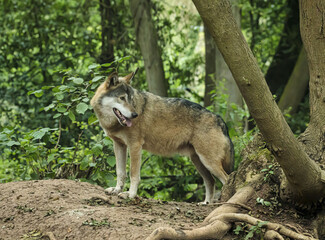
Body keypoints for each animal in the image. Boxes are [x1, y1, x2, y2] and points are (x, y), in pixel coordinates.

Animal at [90, 69, 233, 202]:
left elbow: (133, 174)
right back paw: (205, 203)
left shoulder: (135, 146)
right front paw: (116, 190)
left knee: (227, 180)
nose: (135, 115)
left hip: (208, 162)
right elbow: (120, 172)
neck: (113, 124)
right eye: (122, 98)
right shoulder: (119, 145)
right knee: (211, 181)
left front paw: (130, 195)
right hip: (198, 161)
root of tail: (221, 121)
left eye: (131, 99)